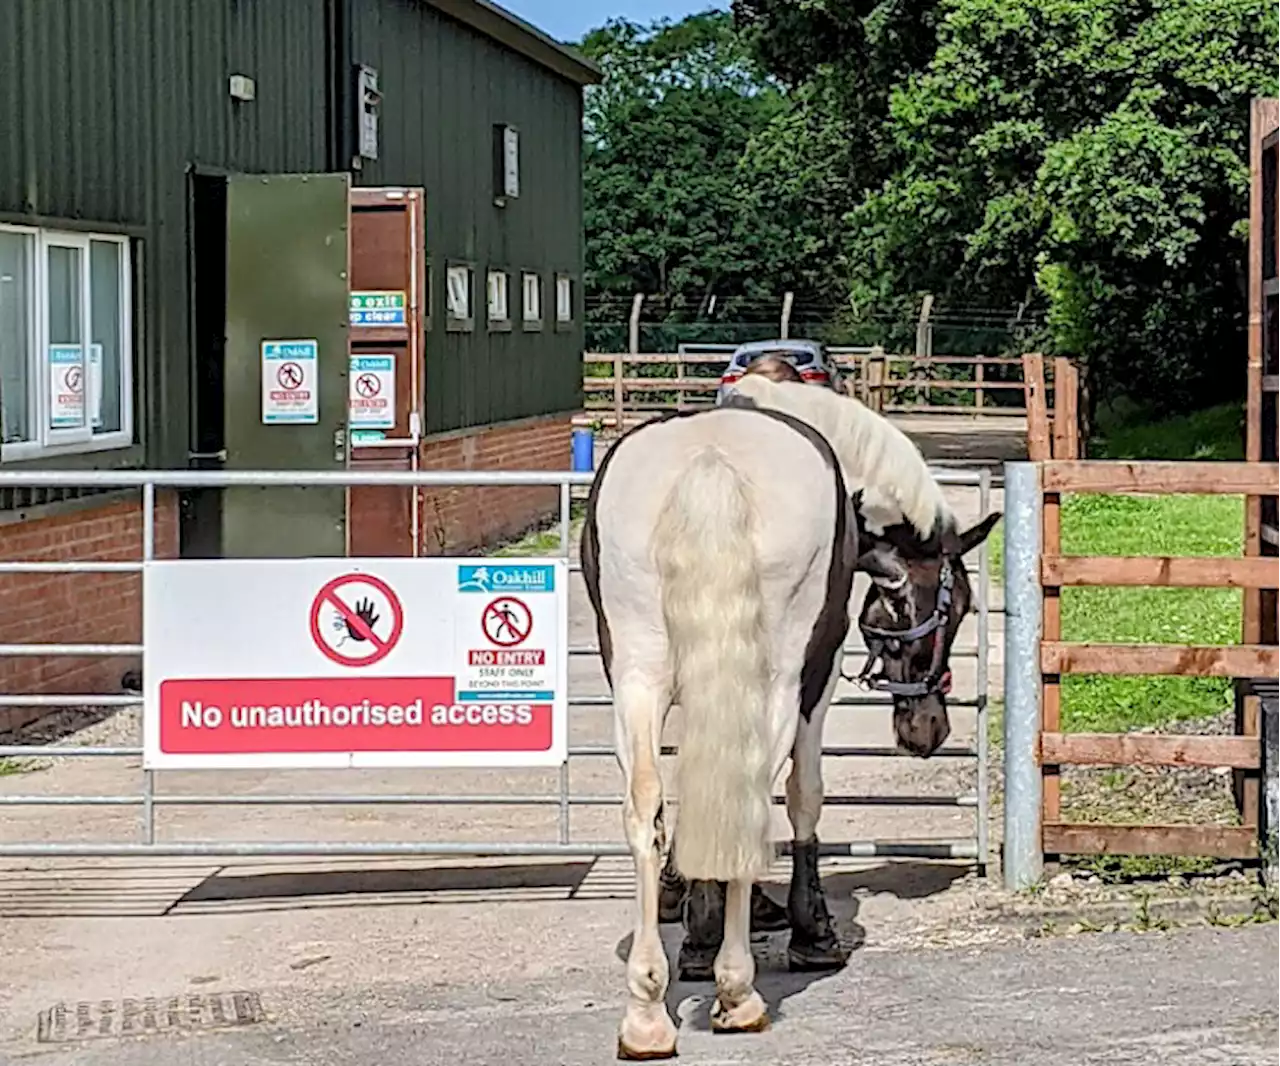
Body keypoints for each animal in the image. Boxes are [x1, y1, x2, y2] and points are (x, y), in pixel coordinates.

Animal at [581, 373, 998, 1054]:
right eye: (955, 604)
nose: (927, 730)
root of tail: (710, 463)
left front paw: (694, 915)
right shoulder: (816, 676)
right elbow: (805, 794)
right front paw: (810, 928)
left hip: (637, 674)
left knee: (647, 806)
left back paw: (646, 1013)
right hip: (775, 678)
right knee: (753, 788)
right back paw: (737, 989)